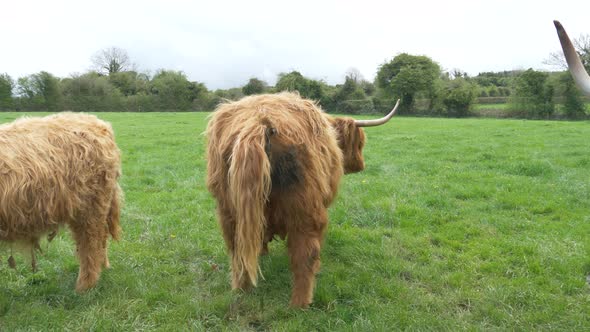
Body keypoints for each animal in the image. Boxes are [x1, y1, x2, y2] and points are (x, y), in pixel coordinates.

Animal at [0, 113, 122, 292]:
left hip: (90, 207)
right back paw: (103, 267)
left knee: (90, 244)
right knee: (100, 239)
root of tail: (98, 122)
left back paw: (84, 286)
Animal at [206, 92, 400, 308]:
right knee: (305, 254)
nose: (361, 165)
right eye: (360, 144)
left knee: (236, 249)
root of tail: (257, 123)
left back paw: (241, 288)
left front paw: (262, 254)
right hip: (306, 210)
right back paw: (301, 303)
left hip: (229, 212)